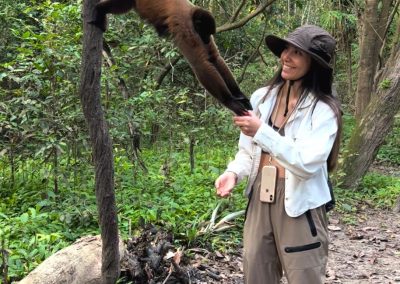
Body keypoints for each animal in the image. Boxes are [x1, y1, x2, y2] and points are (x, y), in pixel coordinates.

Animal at [92, 0, 252, 116]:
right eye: (206, 31)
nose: (207, 39)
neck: (192, 14)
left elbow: (214, 58)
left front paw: (238, 94)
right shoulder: (185, 27)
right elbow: (200, 63)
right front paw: (229, 101)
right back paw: (100, 9)